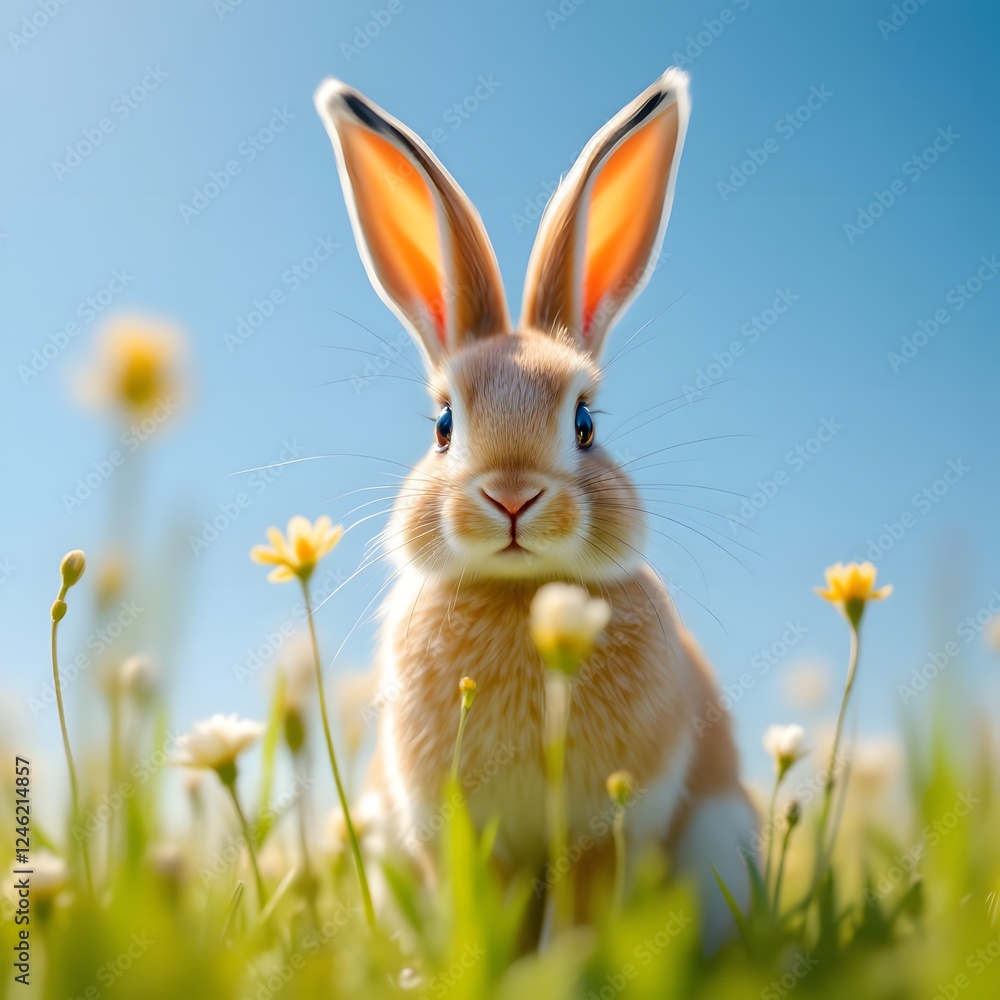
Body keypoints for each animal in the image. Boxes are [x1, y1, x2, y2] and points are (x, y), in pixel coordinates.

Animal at [314, 68, 757, 950]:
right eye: (444, 425)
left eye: (585, 422)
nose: (511, 497)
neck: (524, 598)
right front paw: (479, 962)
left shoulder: (608, 824)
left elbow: (580, 912)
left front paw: (568, 963)